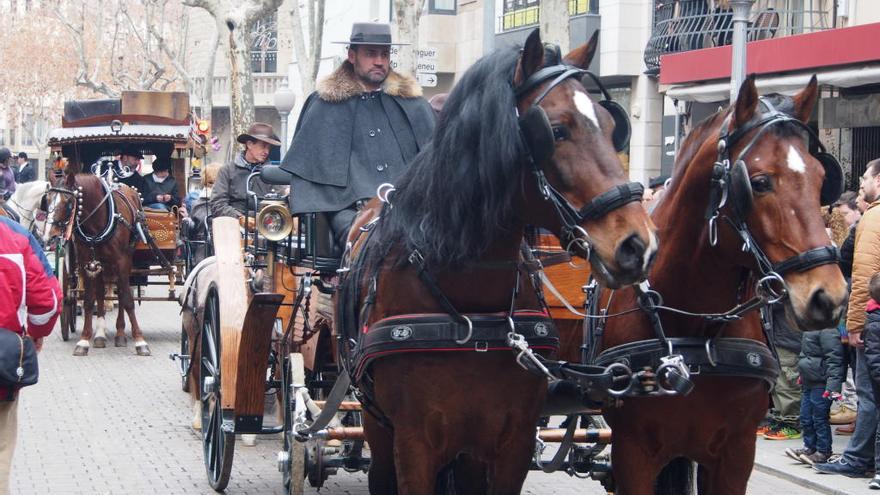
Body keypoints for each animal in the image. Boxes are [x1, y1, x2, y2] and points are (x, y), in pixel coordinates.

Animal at [44, 173, 151, 356]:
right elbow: (89, 300)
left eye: (68, 201)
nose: (49, 236)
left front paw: (140, 341)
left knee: (121, 293)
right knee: (101, 294)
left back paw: (120, 334)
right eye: (47, 199)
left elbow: (127, 300)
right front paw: (84, 340)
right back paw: (100, 335)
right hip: (101, 264)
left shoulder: (122, 261)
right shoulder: (87, 263)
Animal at [340, 31, 656, 495]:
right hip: (377, 425)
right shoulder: (414, 442)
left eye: (614, 126)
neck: (471, 310)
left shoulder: (512, 441)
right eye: (555, 131)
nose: (638, 244)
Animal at [596, 75, 848, 494]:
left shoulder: (736, 452)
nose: (829, 295)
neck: (699, 335)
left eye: (821, 178)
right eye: (758, 182)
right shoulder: (633, 452)